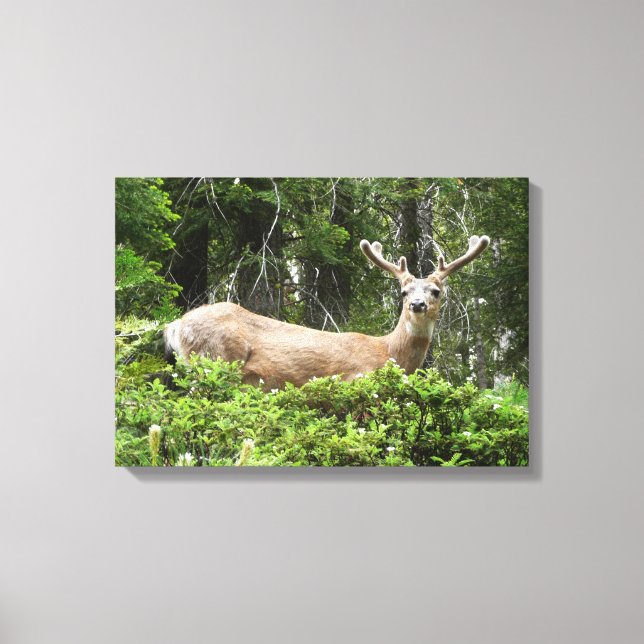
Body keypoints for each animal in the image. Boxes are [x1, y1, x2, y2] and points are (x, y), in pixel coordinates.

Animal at [164, 235, 490, 389]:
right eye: (403, 292)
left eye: (436, 291)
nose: (417, 305)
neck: (388, 353)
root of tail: (175, 325)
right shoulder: (356, 382)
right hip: (213, 360)